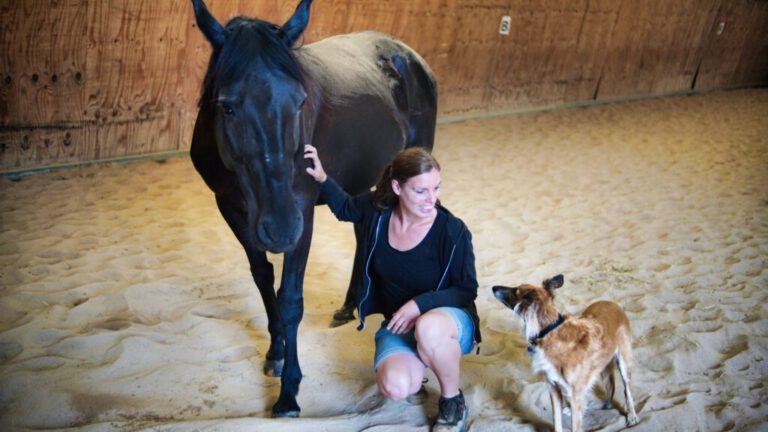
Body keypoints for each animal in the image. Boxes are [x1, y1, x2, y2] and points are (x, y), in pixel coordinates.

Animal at [189, 0, 436, 418]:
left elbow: (290, 300)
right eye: (227, 107)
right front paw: (275, 351)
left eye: (300, 102)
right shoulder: (233, 210)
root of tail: (408, 54)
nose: (280, 228)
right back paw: (349, 305)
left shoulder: (302, 212)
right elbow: (262, 279)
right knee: (363, 233)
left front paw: (289, 393)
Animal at [496, 276, 640, 430]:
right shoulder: (553, 388)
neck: (549, 332)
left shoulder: (574, 393)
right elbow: (557, 421)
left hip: (624, 363)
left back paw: (632, 414)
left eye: (515, 290)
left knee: (627, 389)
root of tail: (612, 303)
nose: (493, 288)